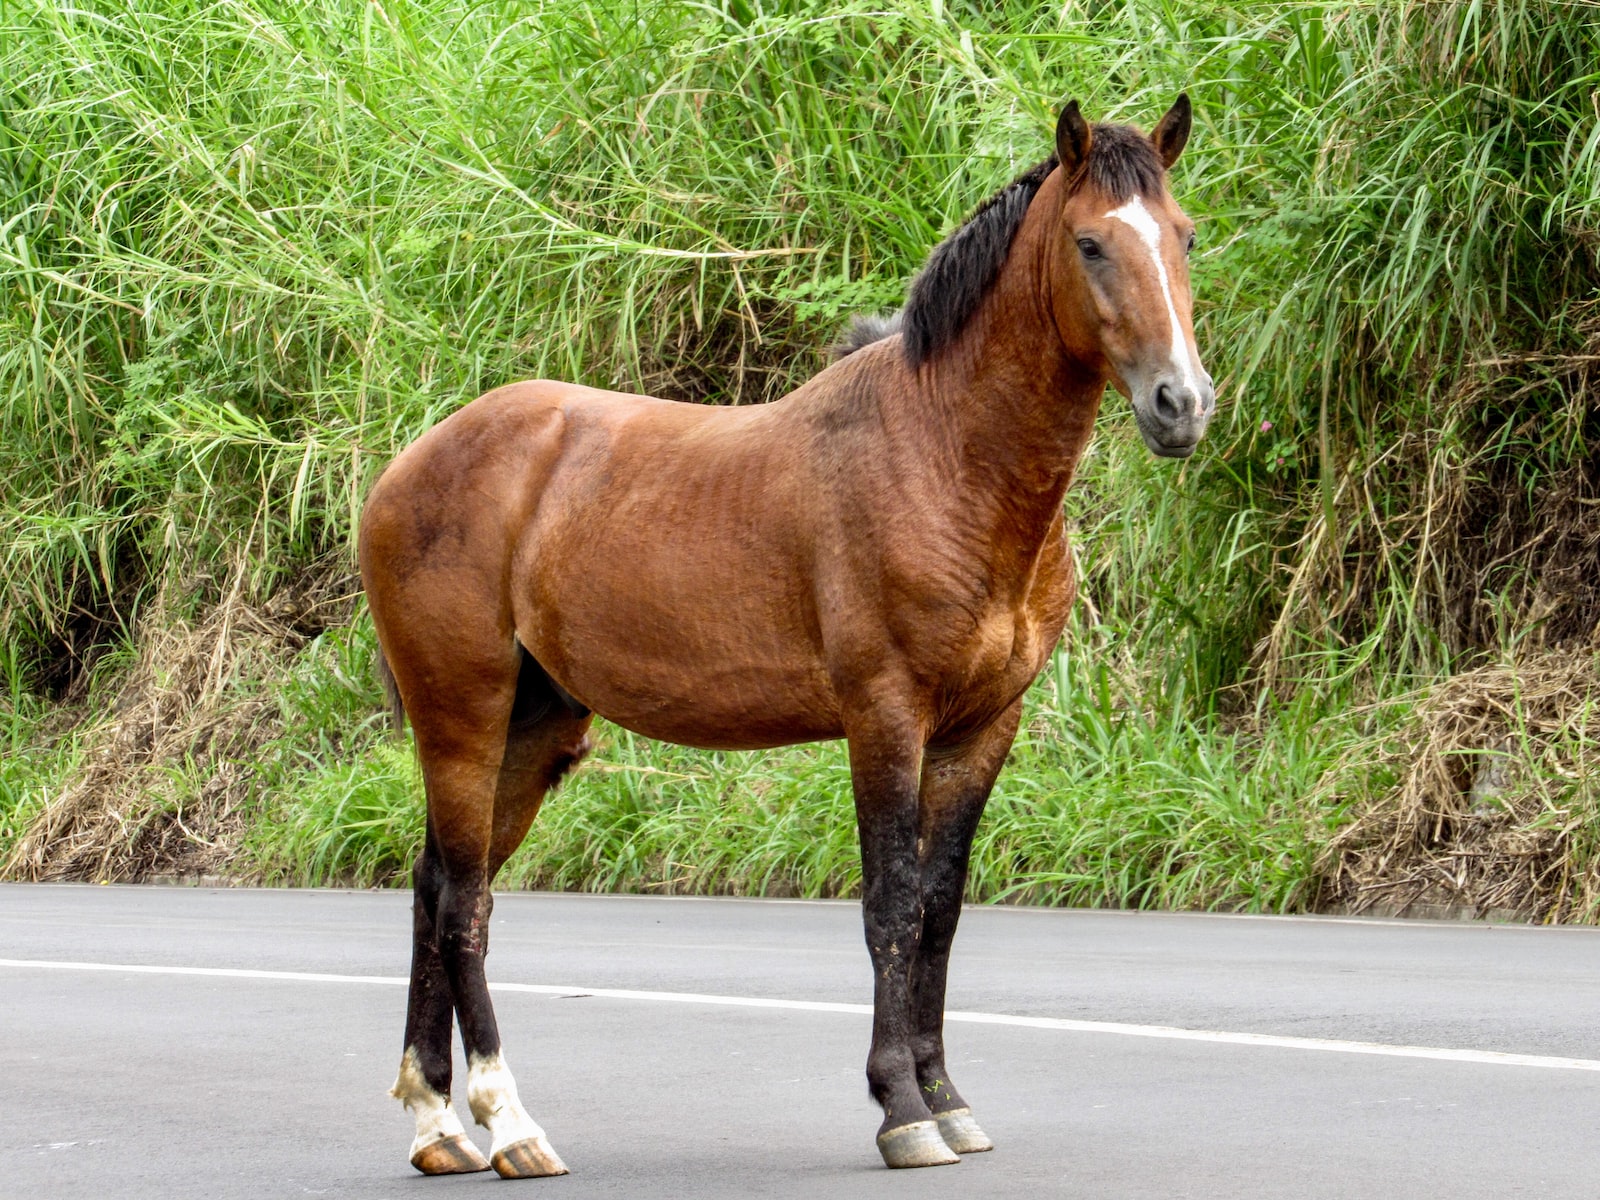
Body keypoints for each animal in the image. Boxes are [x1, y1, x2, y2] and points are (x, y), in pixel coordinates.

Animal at [358, 95, 1213, 1177]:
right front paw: (901, 1110)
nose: (1181, 404)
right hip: (462, 719)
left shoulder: (984, 728)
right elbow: (889, 902)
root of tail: (407, 467)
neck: (943, 455)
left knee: (434, 889)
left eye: (1184, 235)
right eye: (1090, 242)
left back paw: (437, 1126)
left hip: (534, 728)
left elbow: (938, 908)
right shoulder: (885, 717)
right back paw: (510, 1123)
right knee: (464, 904)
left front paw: (948, 1098)